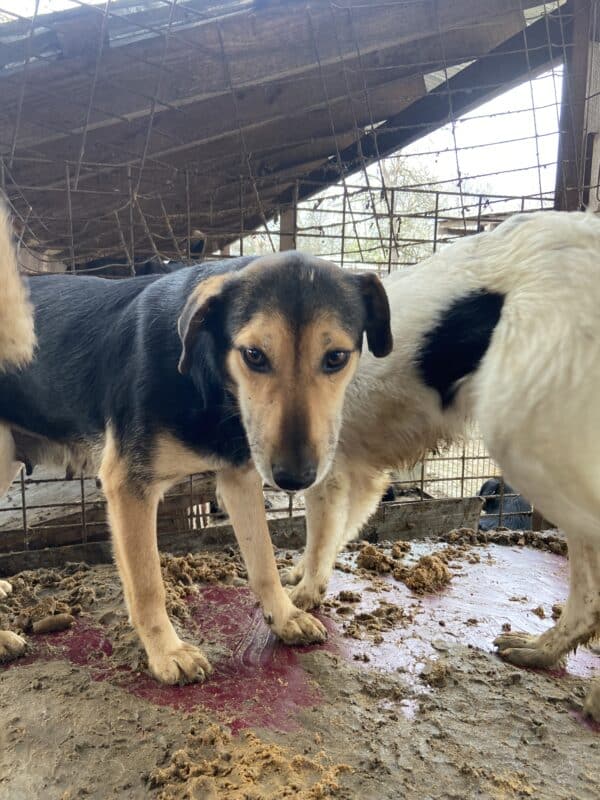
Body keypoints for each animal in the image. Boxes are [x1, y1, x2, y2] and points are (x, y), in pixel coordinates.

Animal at [0, 241, 392, 684]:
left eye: (336, 357)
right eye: (254, 355)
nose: (294, 478)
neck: (207, 376)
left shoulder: (240, 479)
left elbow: (263, 561)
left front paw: (284, 615)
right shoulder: (128, 486)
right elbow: (147, 584)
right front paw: (167, 652)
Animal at [284, 209, 600, 720]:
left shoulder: (330, 472)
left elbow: (320, 538)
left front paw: (302, 597)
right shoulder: (364, 474)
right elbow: (335, 534)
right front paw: (302, 576)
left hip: (527, 435)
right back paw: (539, 649)